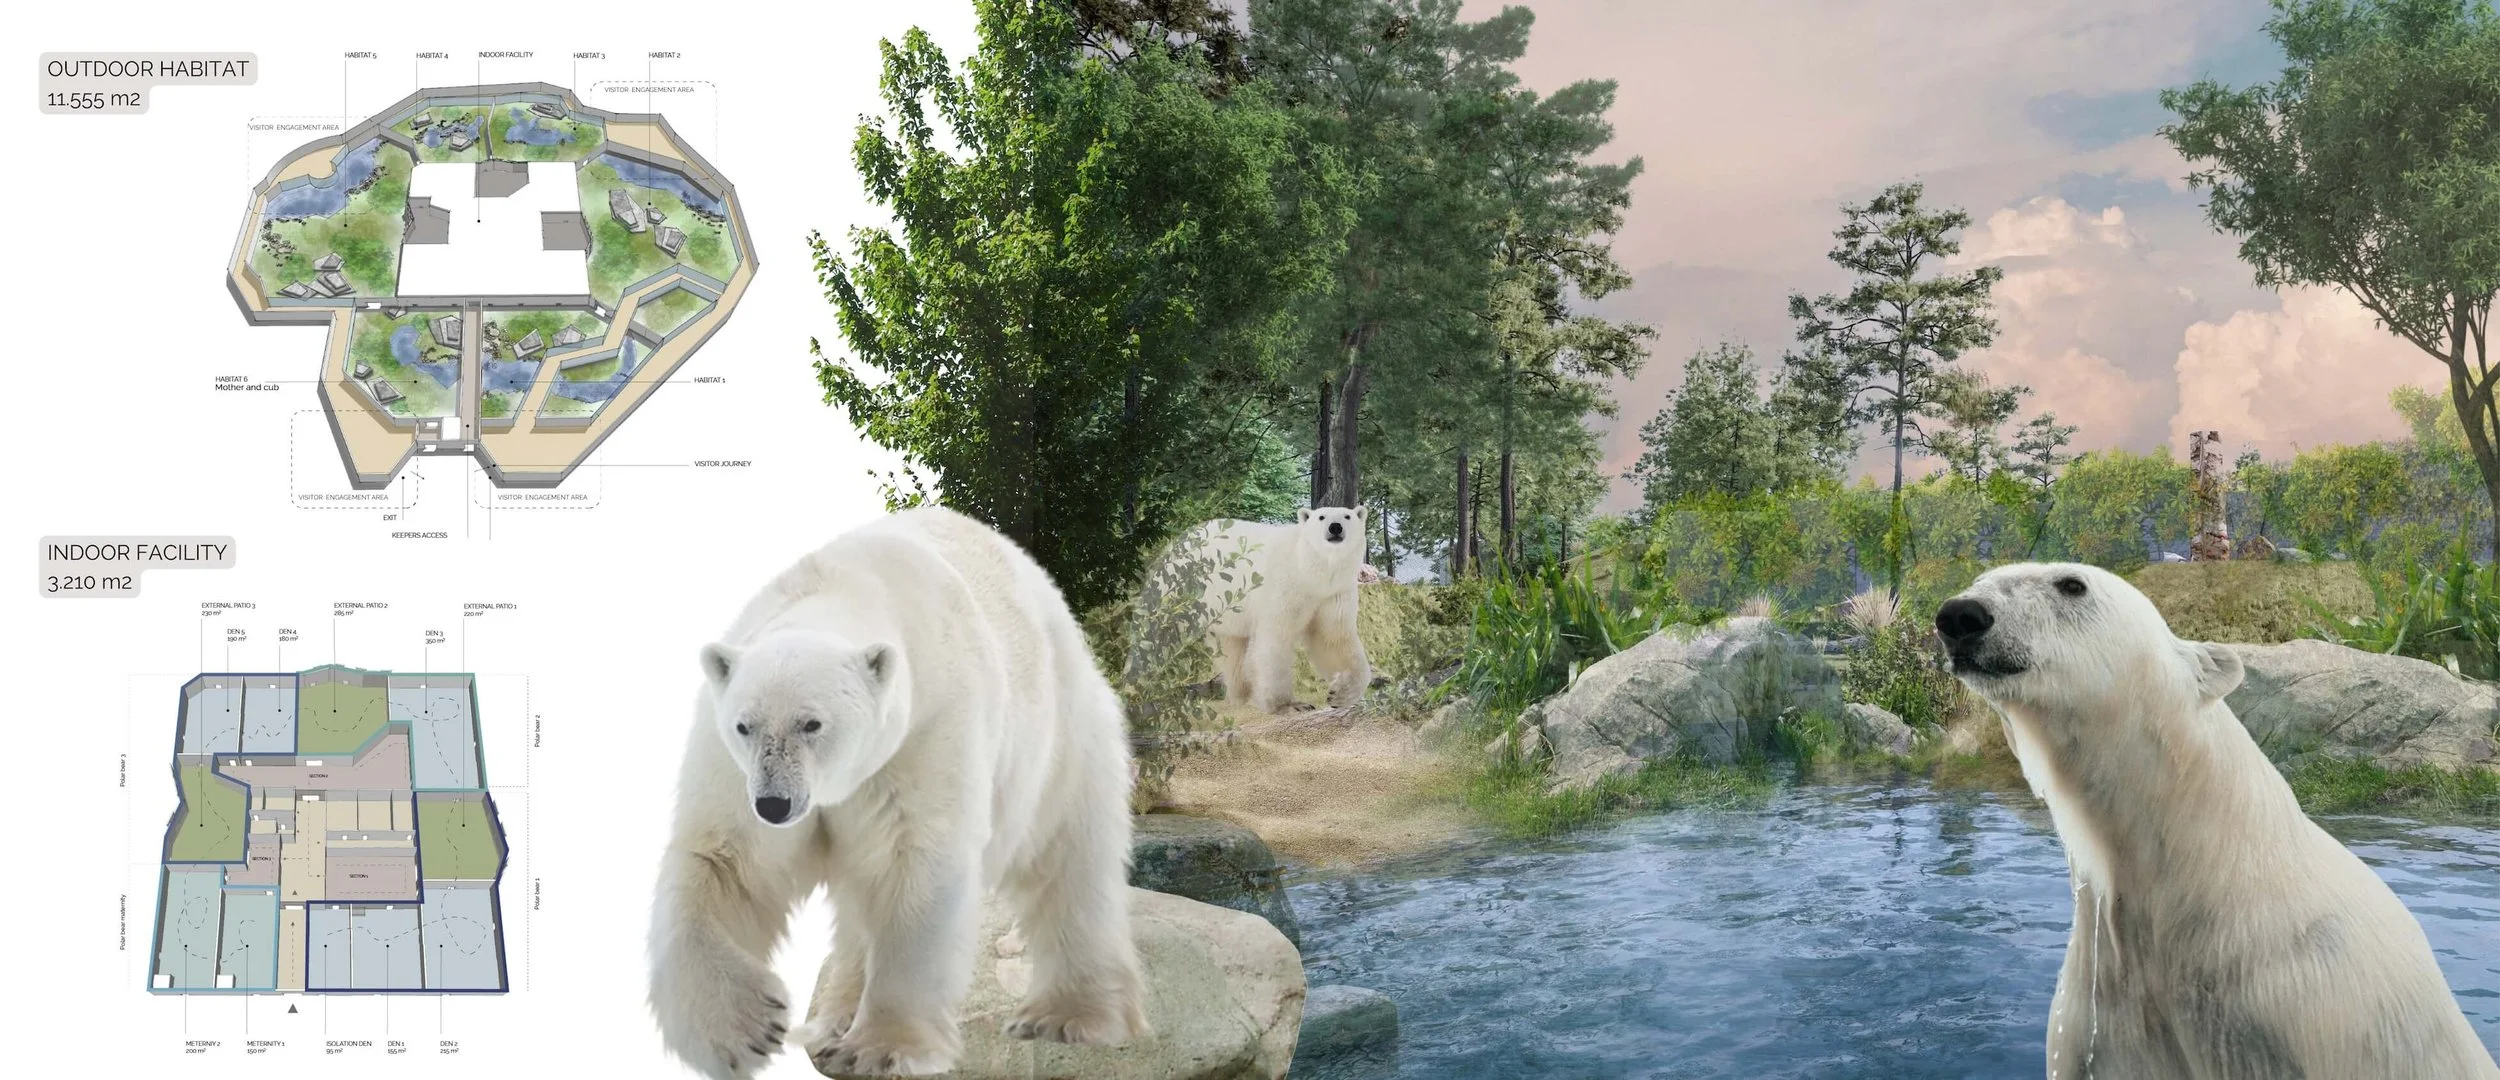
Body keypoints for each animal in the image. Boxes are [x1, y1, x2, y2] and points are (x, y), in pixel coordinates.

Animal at [647, 506, 1147, 1079]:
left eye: (812, 723)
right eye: (744, 726)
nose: (775, 805)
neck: (843, 586)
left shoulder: (924, 731)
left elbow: (914, 864)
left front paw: (881, 1047)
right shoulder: (732, 767)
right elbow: (727, 862)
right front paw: (745, 1027)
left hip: (1060, 743)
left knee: (1072, 866)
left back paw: (1070, 1016)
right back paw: (832, 1021)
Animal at [1163, 506, 1371, 713]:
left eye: (1347, 516)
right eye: (1321, 517)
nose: (1335, 527)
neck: (1308, 570)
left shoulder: (1333, 593)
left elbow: (1333, 638)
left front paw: (1340, 694)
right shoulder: (1284, 584)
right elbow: (1275, 638)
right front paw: (1288, 705)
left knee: (1232, 649)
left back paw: (1240, 696)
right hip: (1182, 587)